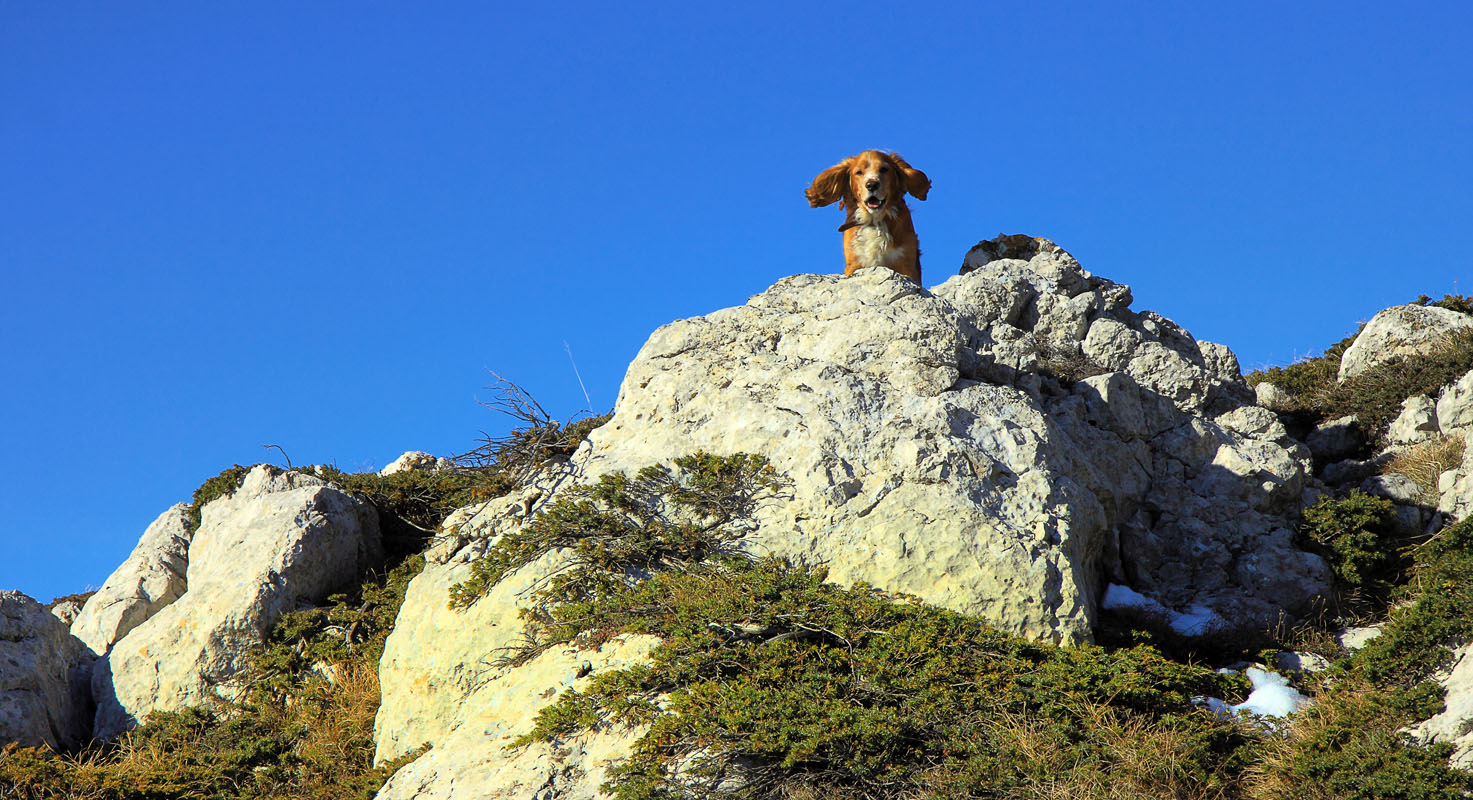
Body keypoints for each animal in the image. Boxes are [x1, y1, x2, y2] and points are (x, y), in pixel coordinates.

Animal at [807, 150, 930, 284]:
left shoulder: (906, 263)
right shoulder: (854, 263)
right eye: (859, 172)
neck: (874, 221)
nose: (871, 184)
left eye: (884, 169)